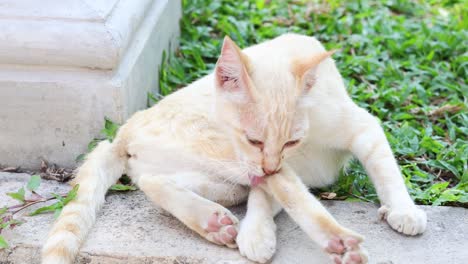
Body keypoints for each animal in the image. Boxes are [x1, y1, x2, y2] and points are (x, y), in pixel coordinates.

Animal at [41, 34, 428, 264]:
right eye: (254, 139)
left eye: (290, 140)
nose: (269, 163)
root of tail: (125, 127)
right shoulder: (263, 163)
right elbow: (282, 189)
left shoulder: (357, 130)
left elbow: (384, 170)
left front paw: (402, 208)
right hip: (219, 153)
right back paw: (337, 241)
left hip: (225, 181)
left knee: (155, 182)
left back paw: (212, 222)